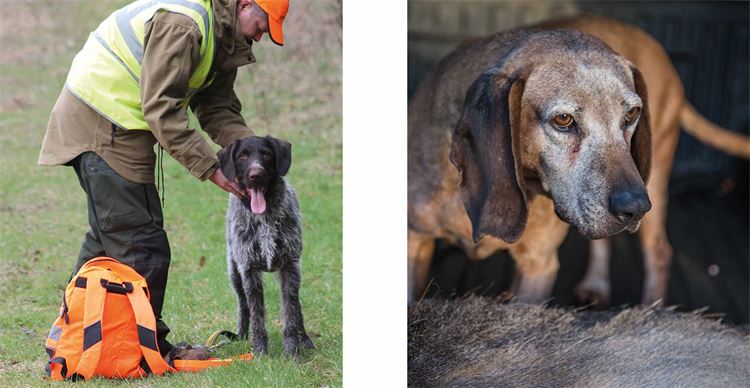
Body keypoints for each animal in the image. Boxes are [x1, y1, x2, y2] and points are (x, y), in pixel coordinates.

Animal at [222, 136, 318, 358]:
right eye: (243, 156)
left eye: (266, 154)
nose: (255, 175)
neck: (264, 217)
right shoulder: (249, 270)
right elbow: (256, 316)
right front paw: (260, 354)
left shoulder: (290, 266)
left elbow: (291, 313)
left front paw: (292, 353)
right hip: (234, 273)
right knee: (243, 305)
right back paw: (241, 334)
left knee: (297, 307)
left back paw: (305, 339)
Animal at [412, 16, 750, 304]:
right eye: (563, 120)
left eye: (632, 114)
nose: (635, 208)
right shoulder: (414, 241)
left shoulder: (538, 266)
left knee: (660, 253)